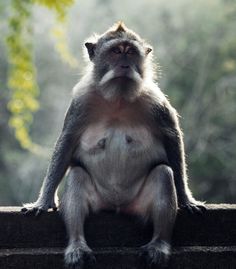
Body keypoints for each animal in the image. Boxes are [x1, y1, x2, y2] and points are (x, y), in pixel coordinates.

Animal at [22, 22, 206, 266]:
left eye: (131, 52)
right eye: (116, 51)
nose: (125, 65)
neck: (118, 98)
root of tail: (118, 206)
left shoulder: (155, 101)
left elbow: (172, 138)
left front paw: (186, 199)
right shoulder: (81, 102)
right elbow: (66, 143)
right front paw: (42, 202)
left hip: (138, 203)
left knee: (163, 174)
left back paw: (158, 245)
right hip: (100, 201)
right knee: (77, 175)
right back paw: (77, 246)